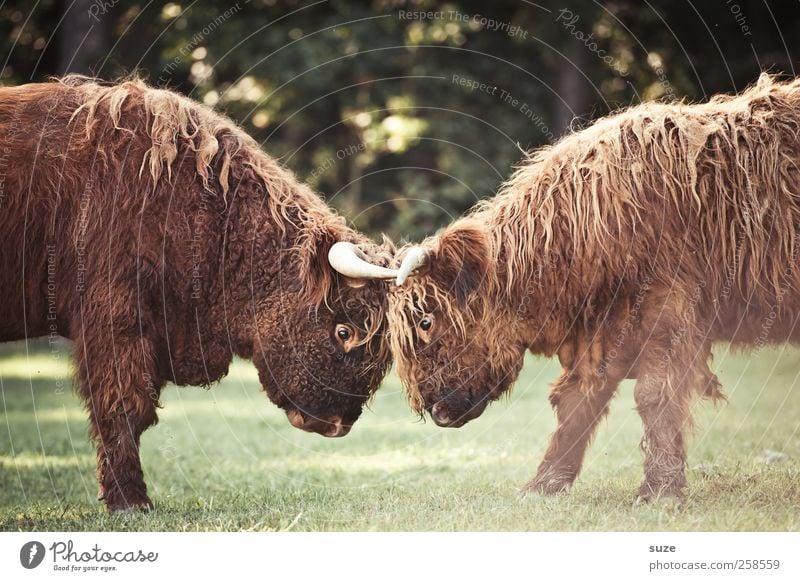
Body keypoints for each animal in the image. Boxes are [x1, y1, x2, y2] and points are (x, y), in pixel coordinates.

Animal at [390, 72, 800, 498]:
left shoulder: (667, 307)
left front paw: (659, 489)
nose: (435, 409)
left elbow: (653, 394)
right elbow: (576, 400)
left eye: (426, 321)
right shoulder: (603, 330)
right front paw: (543, 485)